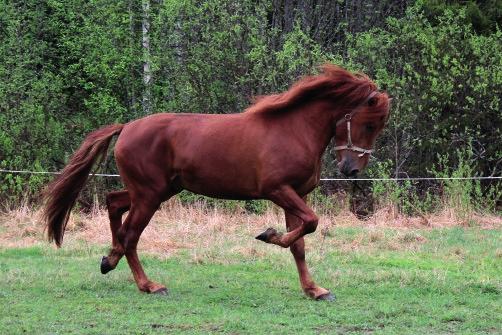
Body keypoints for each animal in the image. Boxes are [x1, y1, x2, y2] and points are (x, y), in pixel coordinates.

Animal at [43, 64, 390, 300]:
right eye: (369, 124)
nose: (351, 169)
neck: (294, 129)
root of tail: (126, 127)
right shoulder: (278, 190)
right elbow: (310, 225)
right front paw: (267, 234)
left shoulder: (297, 195)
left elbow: (300, 243)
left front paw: (314, 290)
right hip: (150, 195)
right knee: (130, 234)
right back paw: (148, 284)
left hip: (155, 191)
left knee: (114, 203)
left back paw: (109, 259)